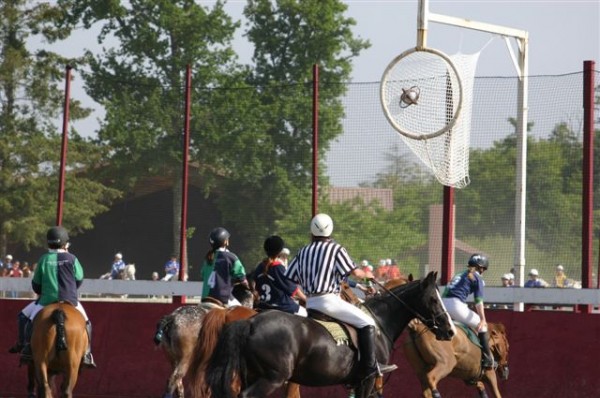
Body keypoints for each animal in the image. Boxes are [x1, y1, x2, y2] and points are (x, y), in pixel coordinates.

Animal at [204, 270, 452, 398]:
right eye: (433, 299)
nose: (449, 330)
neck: (380, 322)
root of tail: (251, 322)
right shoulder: (369, 380)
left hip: (253, 375)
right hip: (272, 378)